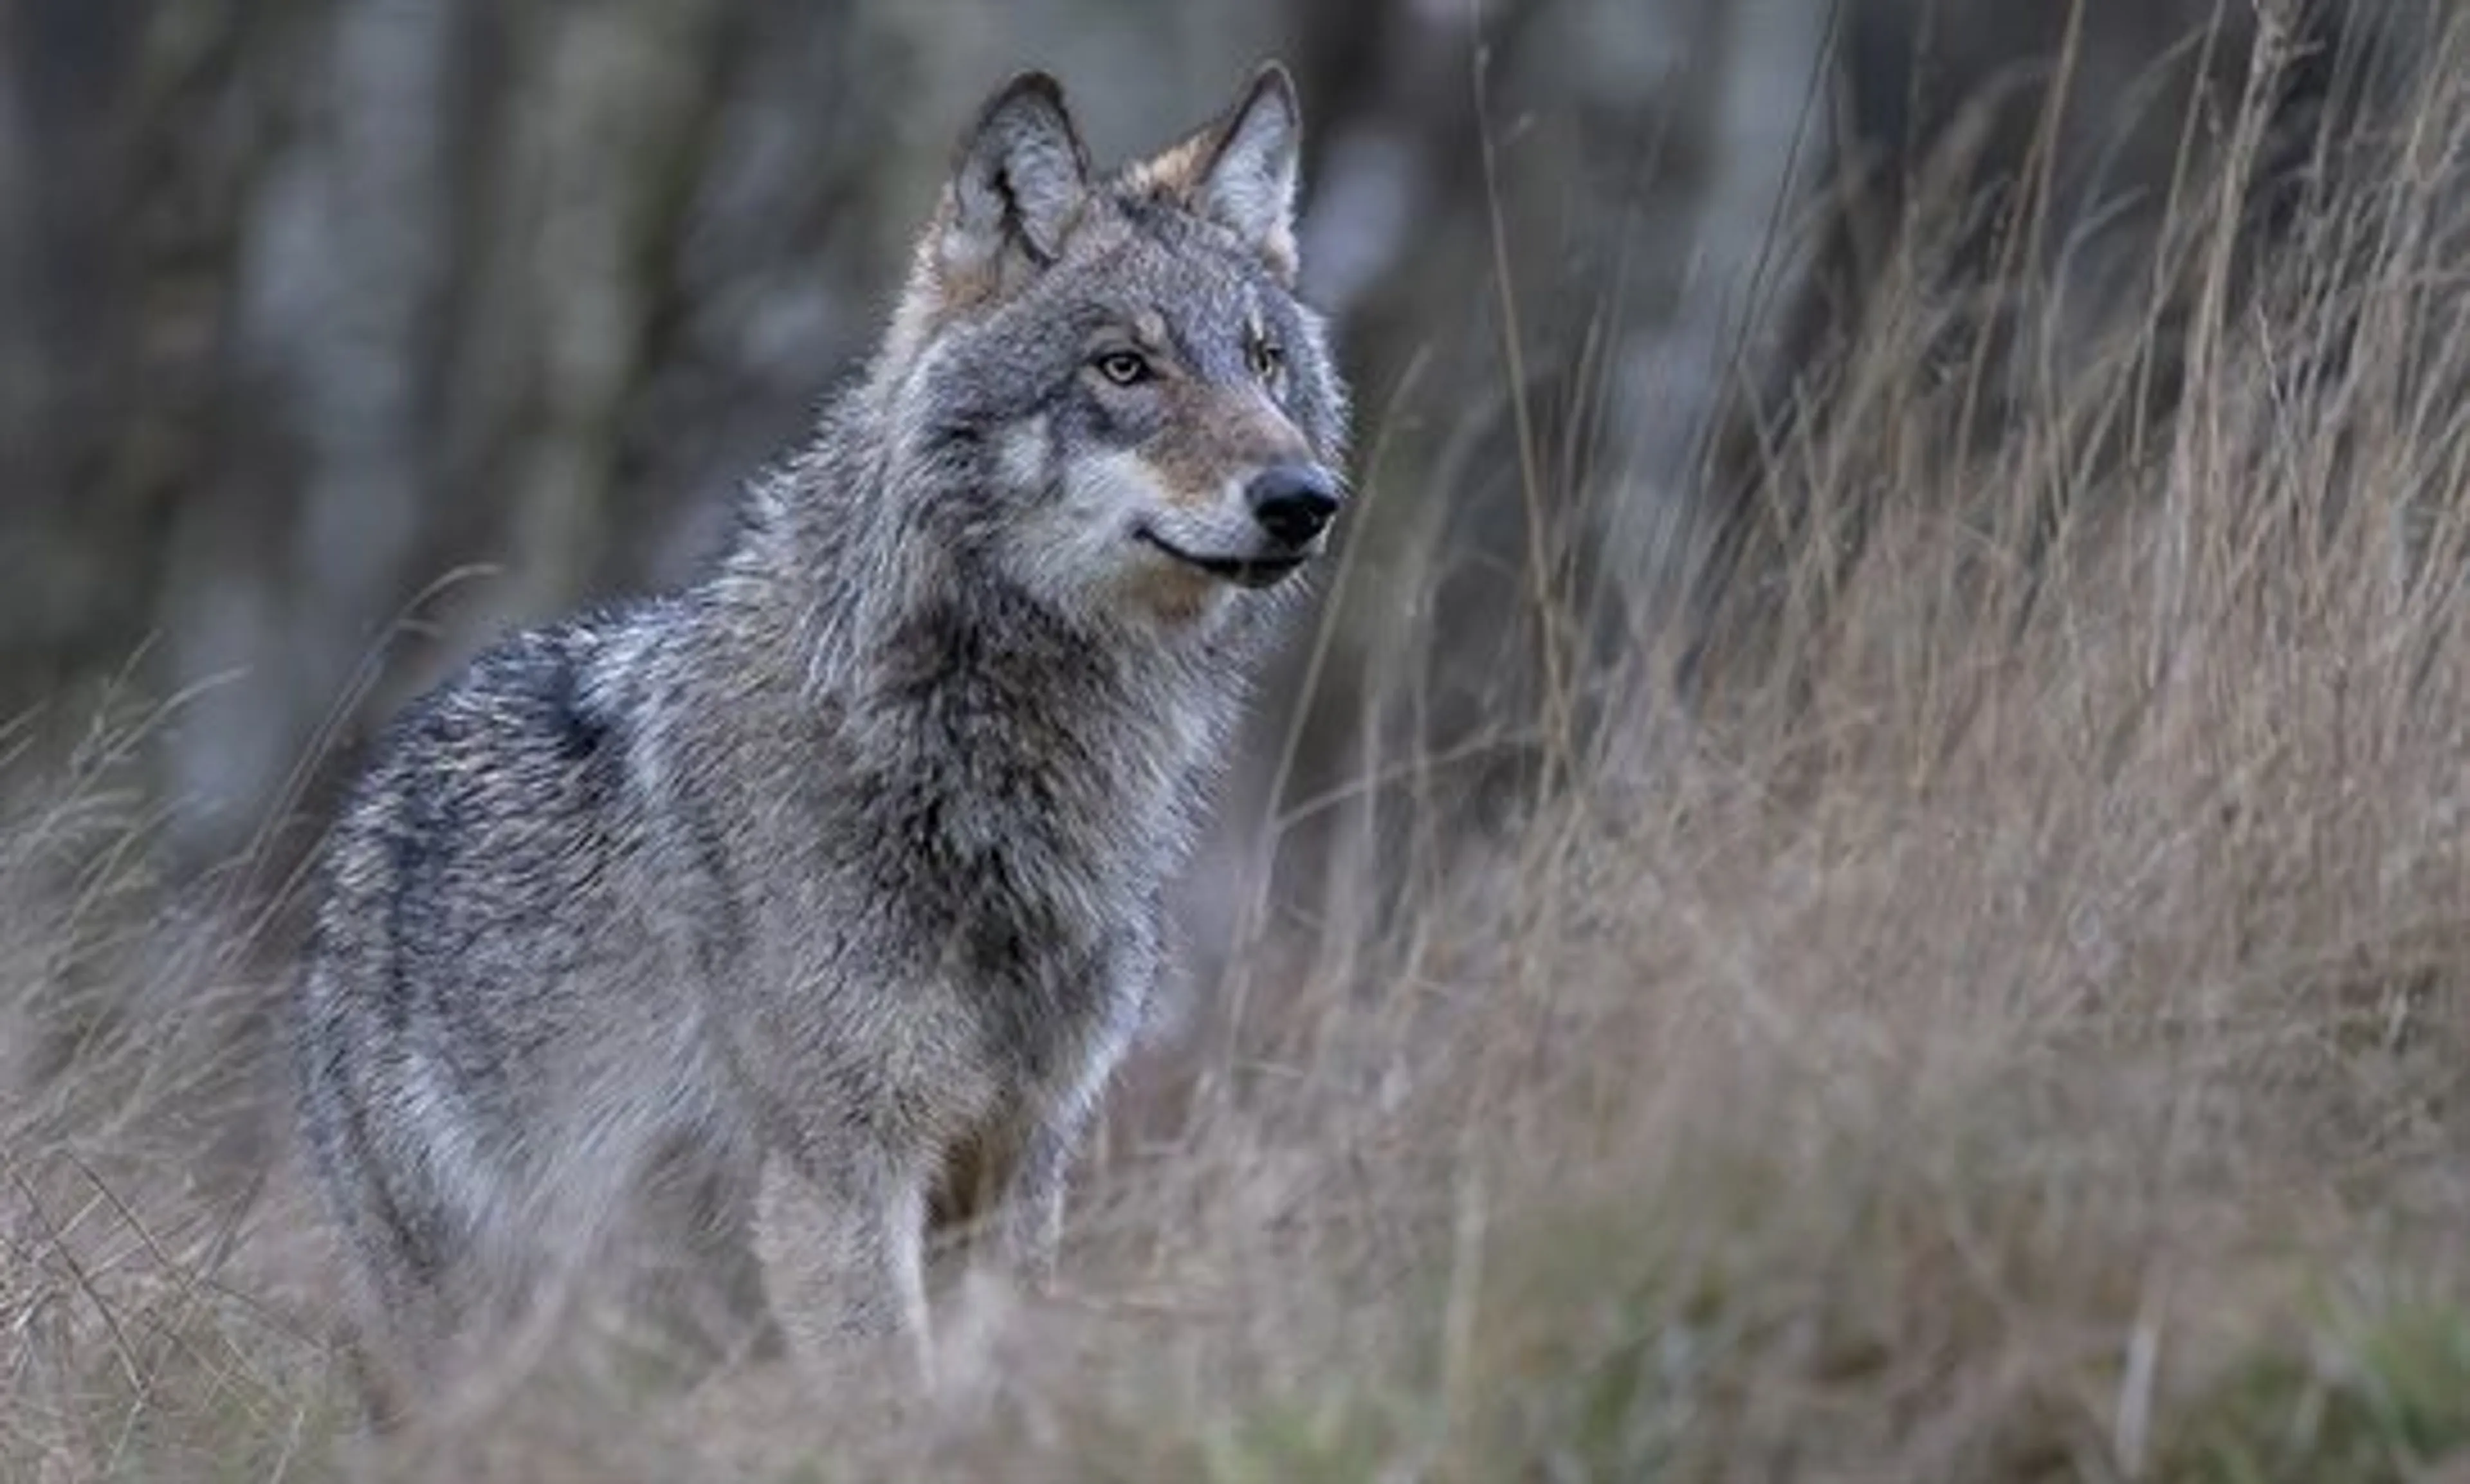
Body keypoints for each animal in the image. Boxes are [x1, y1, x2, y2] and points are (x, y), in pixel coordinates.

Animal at [287, 62, 1348, 1420]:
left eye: (1265, 364)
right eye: (1124, 367)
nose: (1304, 499)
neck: (967, 767)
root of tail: (374, 805)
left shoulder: (1022, 1162)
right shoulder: (842, 1177)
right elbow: (890, 1399)